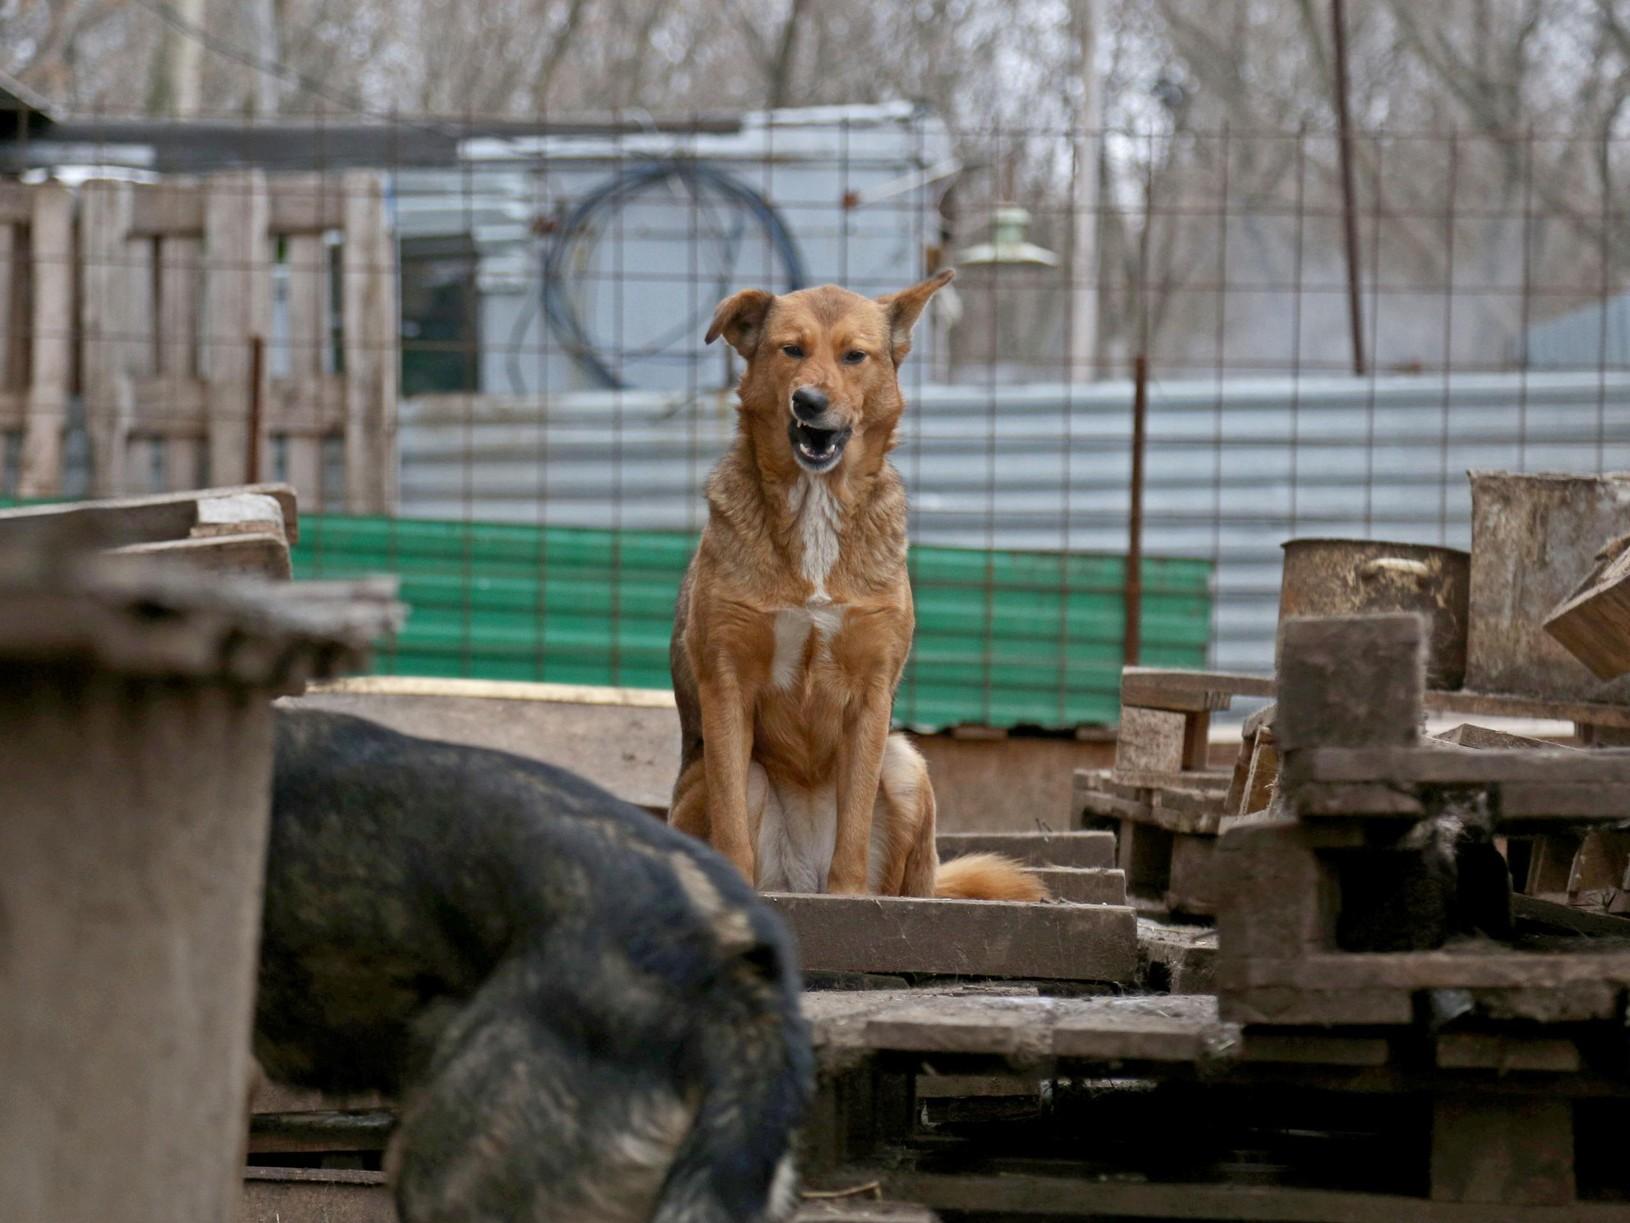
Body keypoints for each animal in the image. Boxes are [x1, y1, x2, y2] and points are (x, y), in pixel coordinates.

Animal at [665, 270, 1036, 900]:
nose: (809, 401)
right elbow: (732, 821)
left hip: (906, 763)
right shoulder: (725, 681)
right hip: (743, 778)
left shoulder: (872, 690)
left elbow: (856, 817)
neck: (816, 509)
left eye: (854, 356)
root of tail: (800, 878)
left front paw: (849, 894)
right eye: (790, 350)